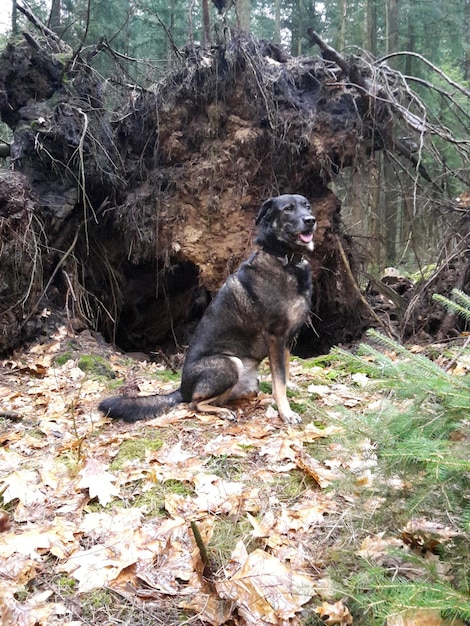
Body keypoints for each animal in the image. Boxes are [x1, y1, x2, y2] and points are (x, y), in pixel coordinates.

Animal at [101, 193, 318, 422]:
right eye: (288, 209)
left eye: (307, 206)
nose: (311, 220)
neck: (285, 259)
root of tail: (182, 389)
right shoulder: (275, 336)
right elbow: (279, 379)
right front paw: (286, 412)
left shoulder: (286, 339)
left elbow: (285, 371)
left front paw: (291, 387)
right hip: (229, 363)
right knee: (194, 404)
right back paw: (223, 412)